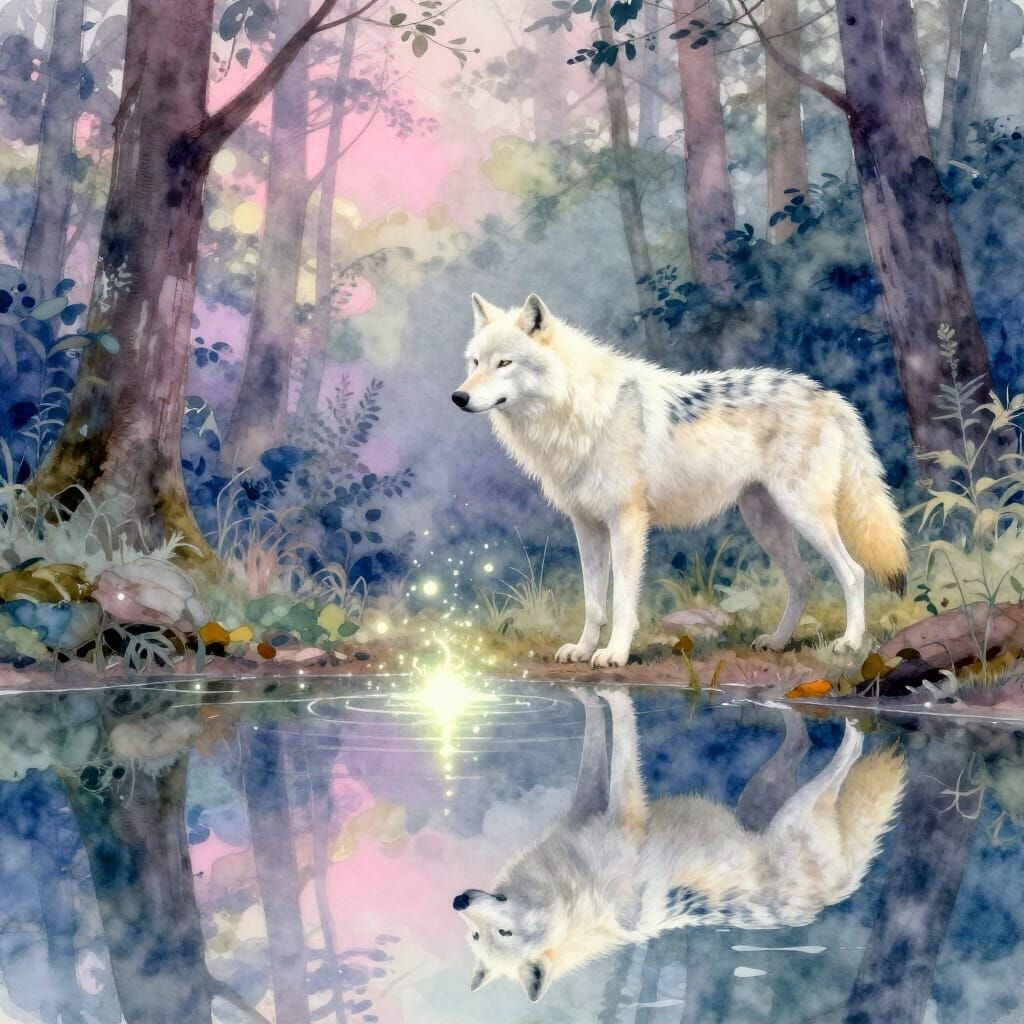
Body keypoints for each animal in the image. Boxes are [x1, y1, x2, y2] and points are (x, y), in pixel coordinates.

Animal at [452, 294, 907, 666]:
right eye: (475, 362)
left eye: (504, 363)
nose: (459, 397)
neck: (576, 411)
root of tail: (828, 395)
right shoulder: (587, 526)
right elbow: (594, 602)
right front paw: (582, 650)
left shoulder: (627, 522)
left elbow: (622, 601)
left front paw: (614, 654)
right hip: (766, 521)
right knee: (803, 580)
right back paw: (777, 642)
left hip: (804, 514)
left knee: (852, 573)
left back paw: (850, 643)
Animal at [452, 689, 906, 1002]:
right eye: (478, 935)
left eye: (502, 932)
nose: (459, 901)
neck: (580, 903)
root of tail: (828, 898)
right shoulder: (617, 816)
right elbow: (617, 742)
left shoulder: (601, 806)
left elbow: (605, 736)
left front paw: (599, 686)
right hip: (783, 808)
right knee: (827, 752)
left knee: (823, 745)